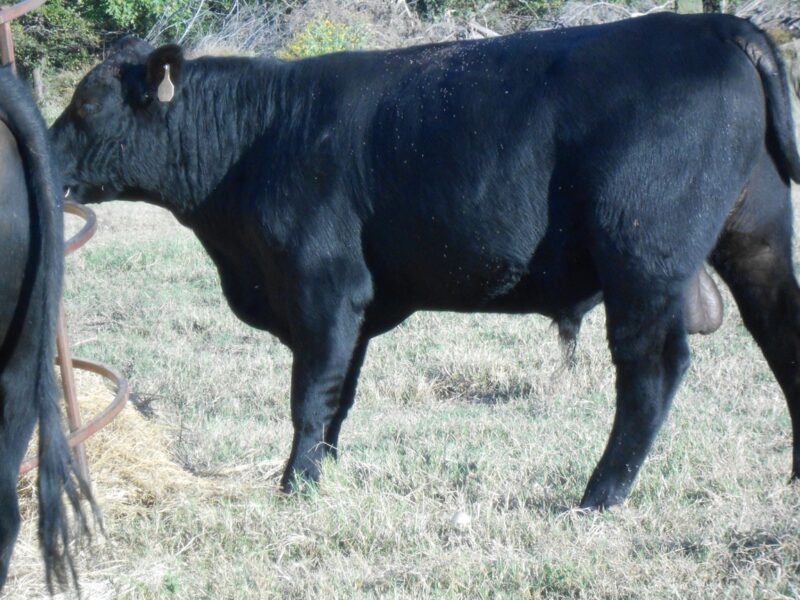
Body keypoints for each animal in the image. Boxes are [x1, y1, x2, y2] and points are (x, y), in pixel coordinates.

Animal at [51, 12, 800, 510]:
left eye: (87, 103)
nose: (45, 158)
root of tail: (716, 25)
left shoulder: (325, 287)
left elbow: (309, 394)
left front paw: (296, 485)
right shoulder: (357, 306)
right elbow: (340, 394)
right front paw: (324, 470)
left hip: (643, 257)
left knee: (651, 369)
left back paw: (600, 494)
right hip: (756, 238)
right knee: (783, 338)